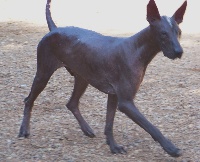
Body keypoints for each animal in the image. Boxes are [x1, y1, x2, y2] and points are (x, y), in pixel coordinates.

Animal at [18, 0, 188, 157]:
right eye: (163, 33)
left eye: (179, 32)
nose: (179, 52)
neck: (136, 50)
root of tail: (55, 29)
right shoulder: (126, 103)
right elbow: (152, 127)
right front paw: (170, 147)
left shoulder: (113, 96)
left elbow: (109, 124)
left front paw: (113, 146)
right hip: (43, 74)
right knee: (29, 100)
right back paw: (24, 130)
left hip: (82, 78)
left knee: (71, 103)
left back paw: (86, 129)